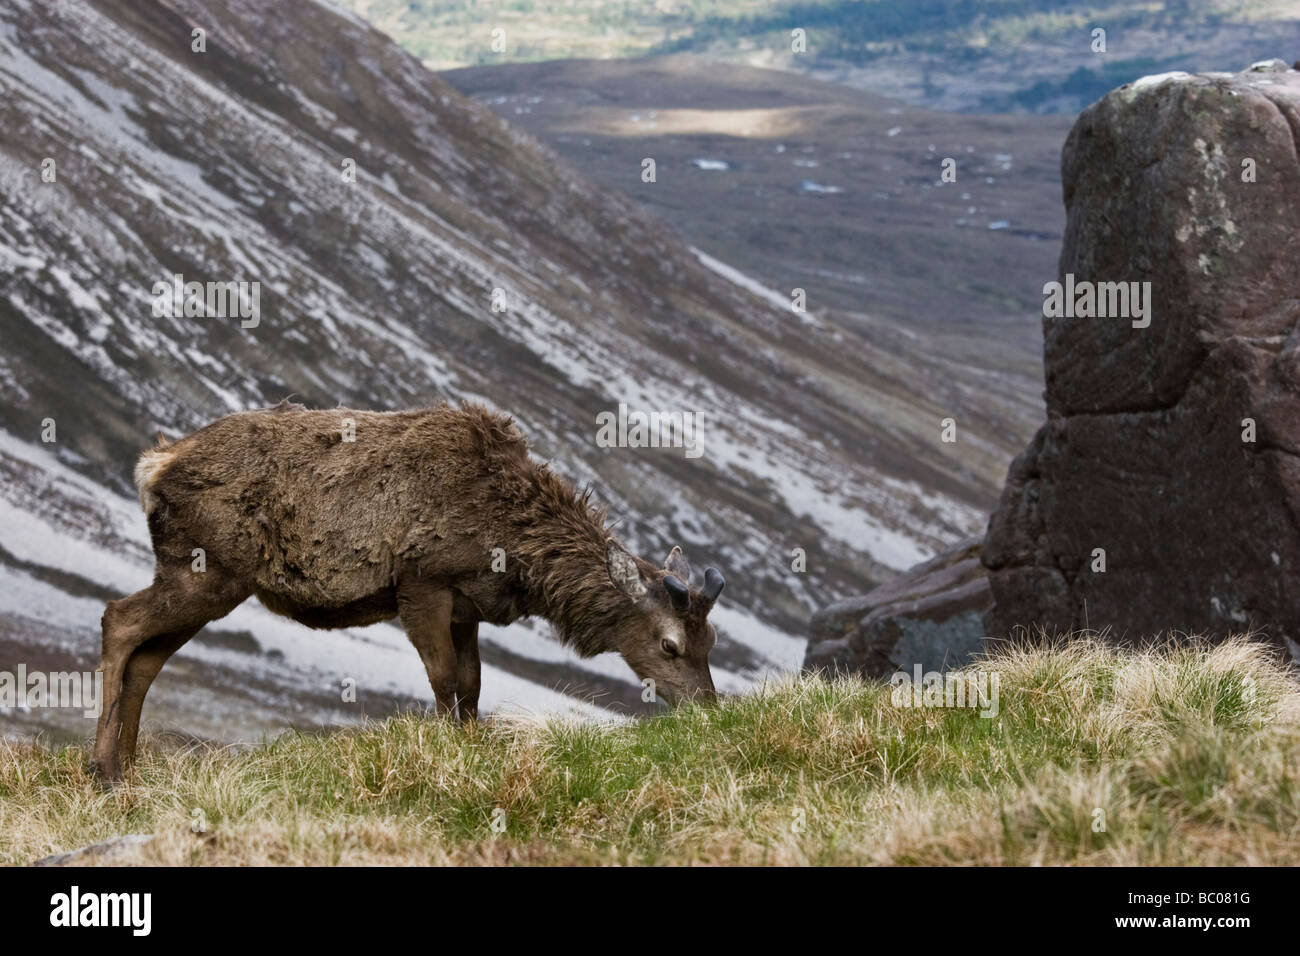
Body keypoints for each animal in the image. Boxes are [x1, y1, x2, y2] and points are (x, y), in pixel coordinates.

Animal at [91, 400, 722, 780]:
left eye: (711, 641)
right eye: (669, 644)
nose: (709, 710)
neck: (514, 551)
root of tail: (153, 465)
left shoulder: (469, 606)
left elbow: (473, 684)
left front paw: (471, 747)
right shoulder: (422, 582)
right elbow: (443, 678)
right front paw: (448, 753)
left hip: (203, 582)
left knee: (147, 658)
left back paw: (129, 770)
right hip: (205, 572)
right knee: (118, 619)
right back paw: (102, 769)